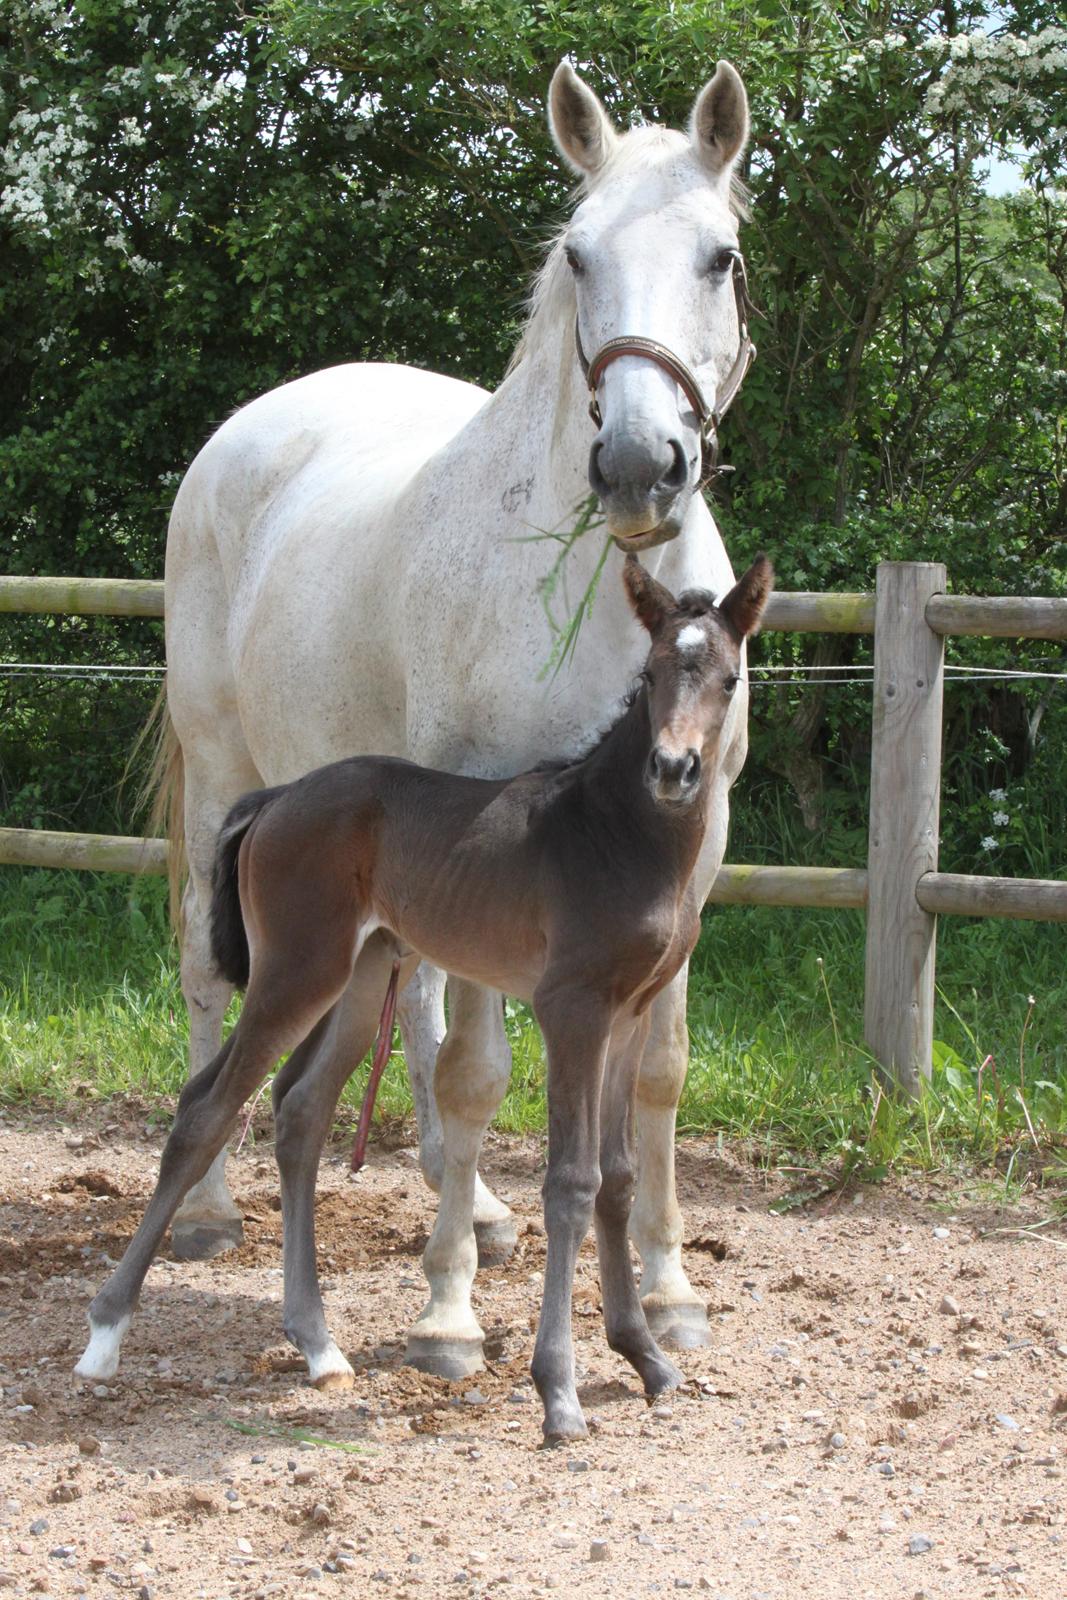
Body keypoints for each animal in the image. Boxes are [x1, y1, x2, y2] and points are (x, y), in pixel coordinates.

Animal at [79, 556, 771, 1446]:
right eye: (649, 675)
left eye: (729, 678)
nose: (674, 770)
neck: (615, 833)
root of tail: (275, 799)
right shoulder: (571, 1008)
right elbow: (570, 1182)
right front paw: (559, 1392)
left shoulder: (631, 1011)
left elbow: (617, 1178)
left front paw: (644, 1359)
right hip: (295, 972)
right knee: (206, 1110)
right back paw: (105, 1336)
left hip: (360, 974)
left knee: (297, 1109)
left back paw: (319, 1346)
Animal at [156, 59, 758, 1388]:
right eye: (577, 255)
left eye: (720, 255)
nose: (637, 464)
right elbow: (482, 1073)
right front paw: (447, 1316)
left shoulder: (697, 844)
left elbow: (659, 1072)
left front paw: (670, 1290)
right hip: (227, 774)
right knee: (214, 979)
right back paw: (216, 1208)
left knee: (416, 1000)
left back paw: (467, 1203)